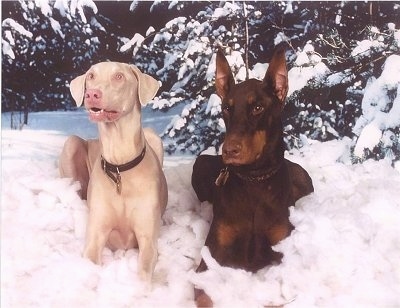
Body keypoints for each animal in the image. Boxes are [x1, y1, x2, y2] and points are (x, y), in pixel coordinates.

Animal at [58, 62, 168, 288]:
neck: (120, 166)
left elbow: (144, 271)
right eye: (91, 76)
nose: (92, 94)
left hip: (154, 136)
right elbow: (90, 260)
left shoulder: (148, 239)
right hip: (71, 143)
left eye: (119, 76)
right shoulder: (96, 235)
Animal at [192, 47, 314, 306]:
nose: (229, 150)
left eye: (257, 108)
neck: (254, 179)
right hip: (200, 163)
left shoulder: (283, 250)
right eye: (227, 108)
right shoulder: (209, 259)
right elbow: (204, 294)